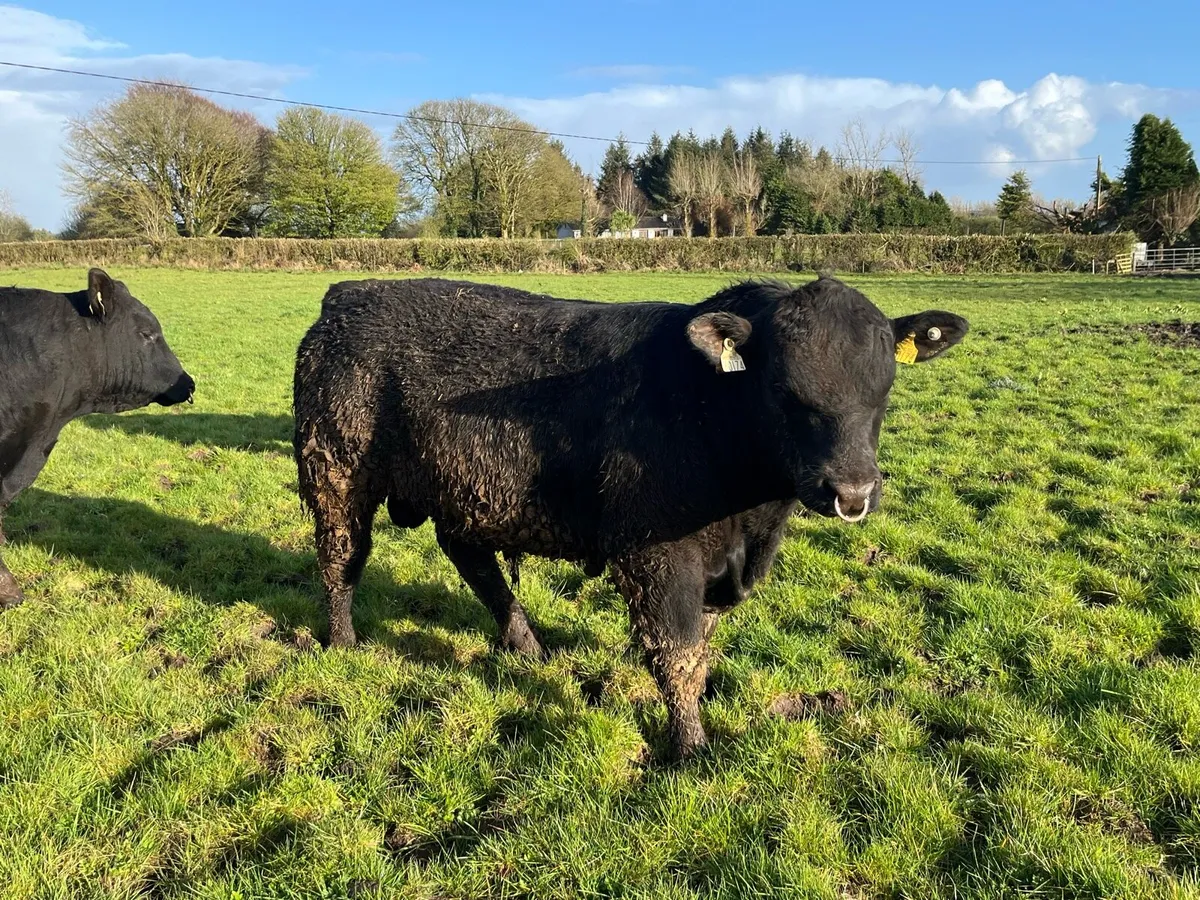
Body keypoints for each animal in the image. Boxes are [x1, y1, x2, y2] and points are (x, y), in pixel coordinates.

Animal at [292, 275, 967, 758]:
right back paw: (345, 644)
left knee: (471, 559)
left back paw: (527, 646)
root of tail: (347, 294)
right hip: (337, 472)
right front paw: (691, 750)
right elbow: (677, 652)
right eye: (783, 391)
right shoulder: (656, 554)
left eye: (883, 389)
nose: (852, 491)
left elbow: (700, 647)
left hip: (466, 491)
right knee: (342, 557)